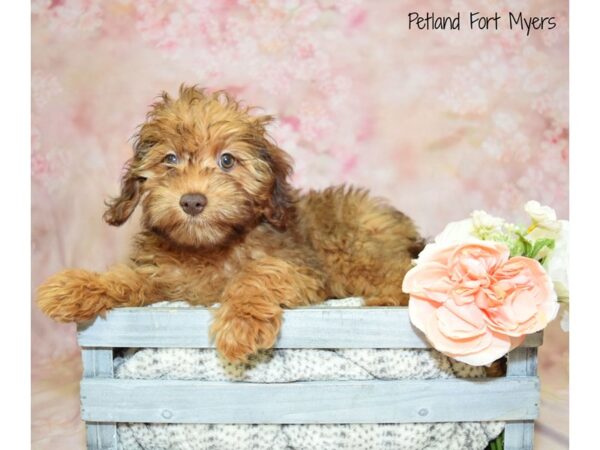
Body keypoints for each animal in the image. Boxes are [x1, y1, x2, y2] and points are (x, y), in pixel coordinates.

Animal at [37, 86, 424, 364]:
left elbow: (258, 273)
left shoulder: (301, 269)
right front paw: (76, 287)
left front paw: (240, 323)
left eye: (227, 161)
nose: (192, 201)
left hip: (350, 246)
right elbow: (126, 278)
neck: (209, 247)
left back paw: (388, 299)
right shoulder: (163, 280)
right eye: (170, 159)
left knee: (398, 271)